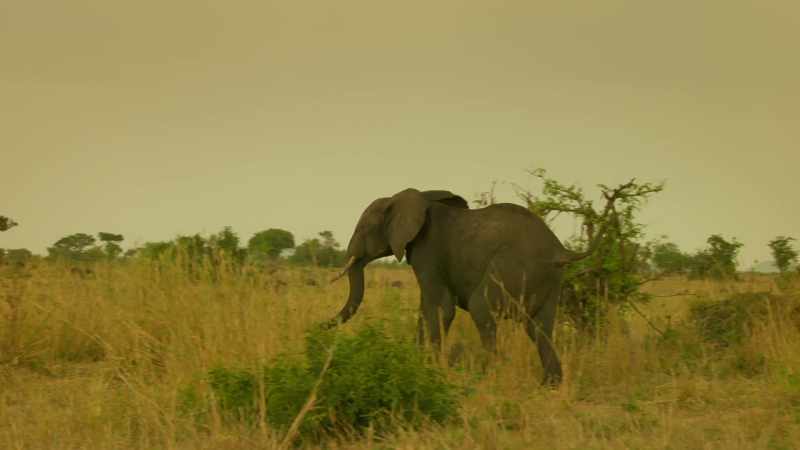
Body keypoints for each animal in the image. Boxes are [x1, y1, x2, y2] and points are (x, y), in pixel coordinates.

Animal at [328, 188, 598, 385]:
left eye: (364, 229)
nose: (322, 328)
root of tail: (561, 250)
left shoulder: (428, 251)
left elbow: (440, 308)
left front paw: (427, 368)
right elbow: (426, 310)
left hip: (515, 266)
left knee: (482, 310)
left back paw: (487, 376)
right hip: (549, 280)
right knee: (539, 328)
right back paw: (549, 386)